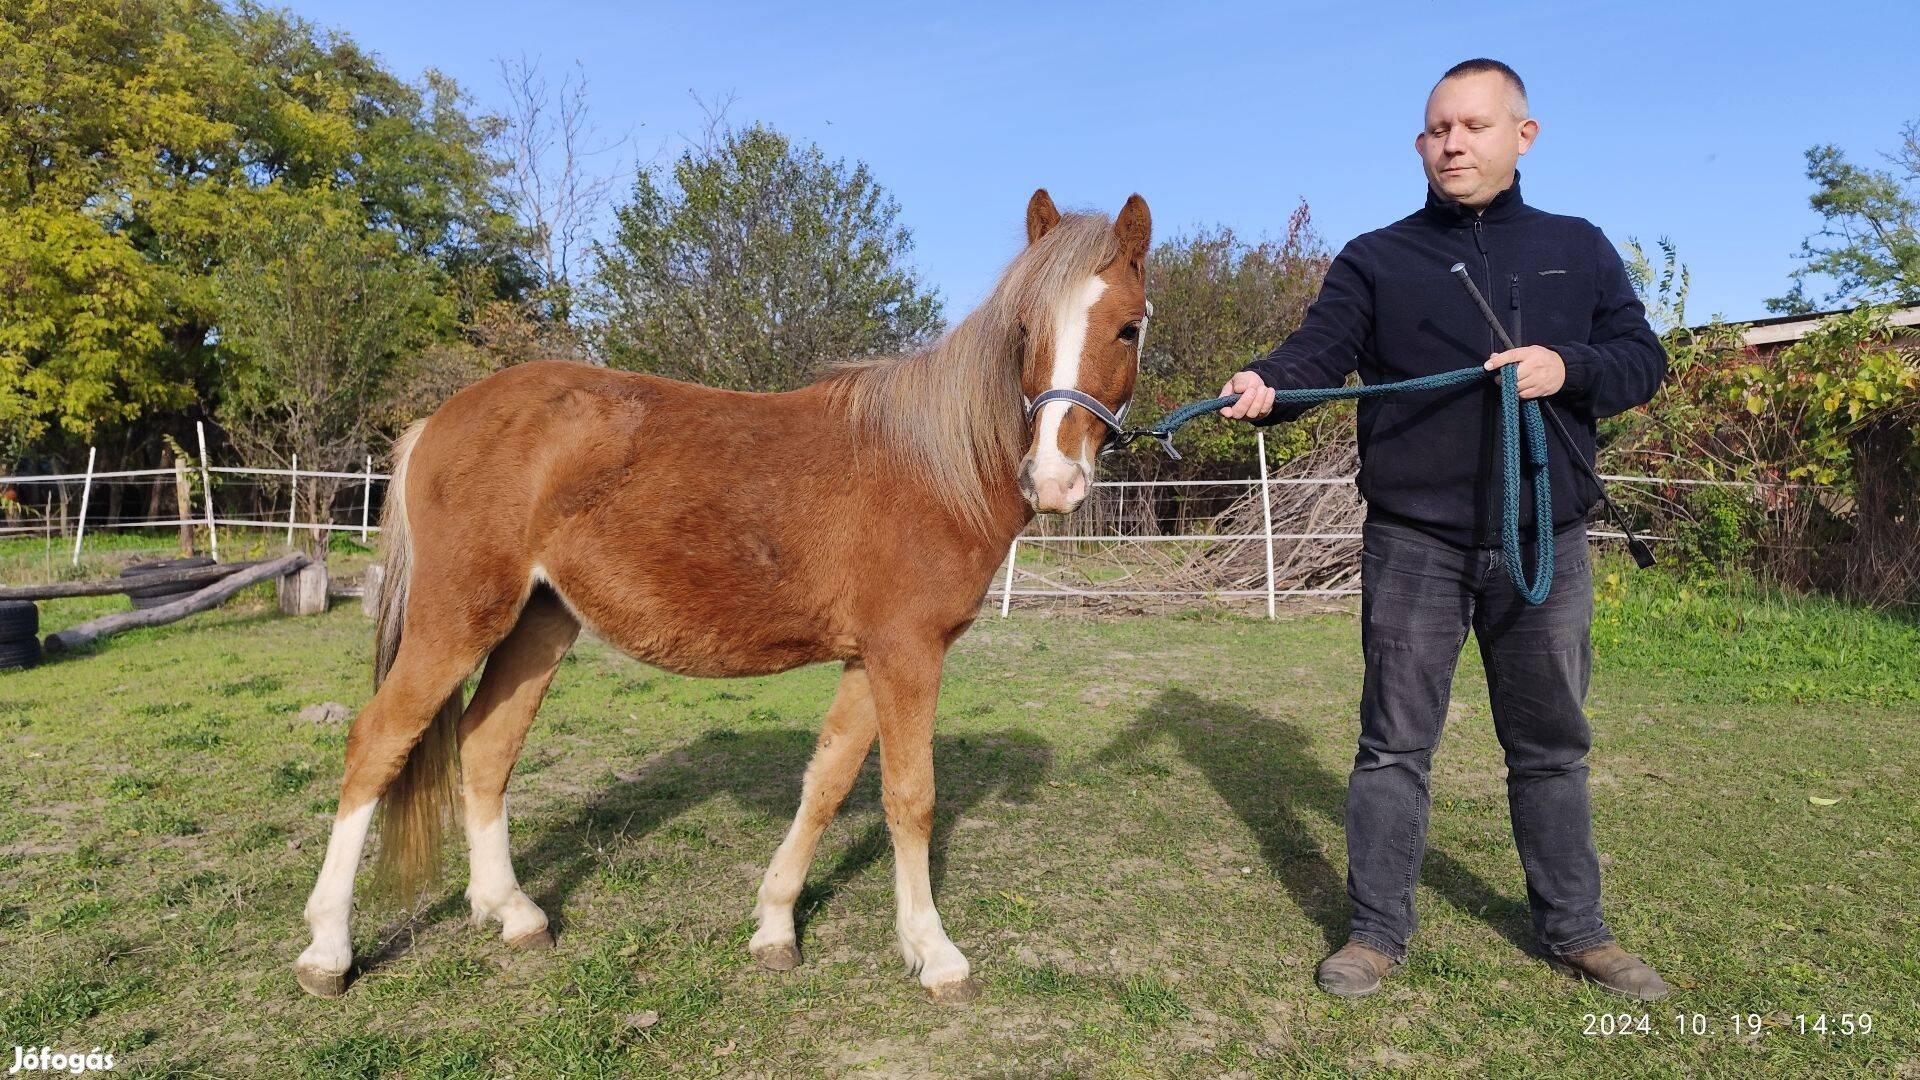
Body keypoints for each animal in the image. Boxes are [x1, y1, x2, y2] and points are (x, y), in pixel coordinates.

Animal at [291, 187, 1144, 999]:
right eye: (1025, 328)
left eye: (1129, 328)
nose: (1054, 480)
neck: (934, 466)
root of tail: (438, 420)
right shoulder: (908, 653)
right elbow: (911, 797)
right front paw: (933, 953)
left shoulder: (870, 657)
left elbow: (827, 782)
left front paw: (775, 925)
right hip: (457, 619)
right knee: (377, 744)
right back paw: (329, 948)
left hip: (538, 622)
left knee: (484, 746)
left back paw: (513, 914)